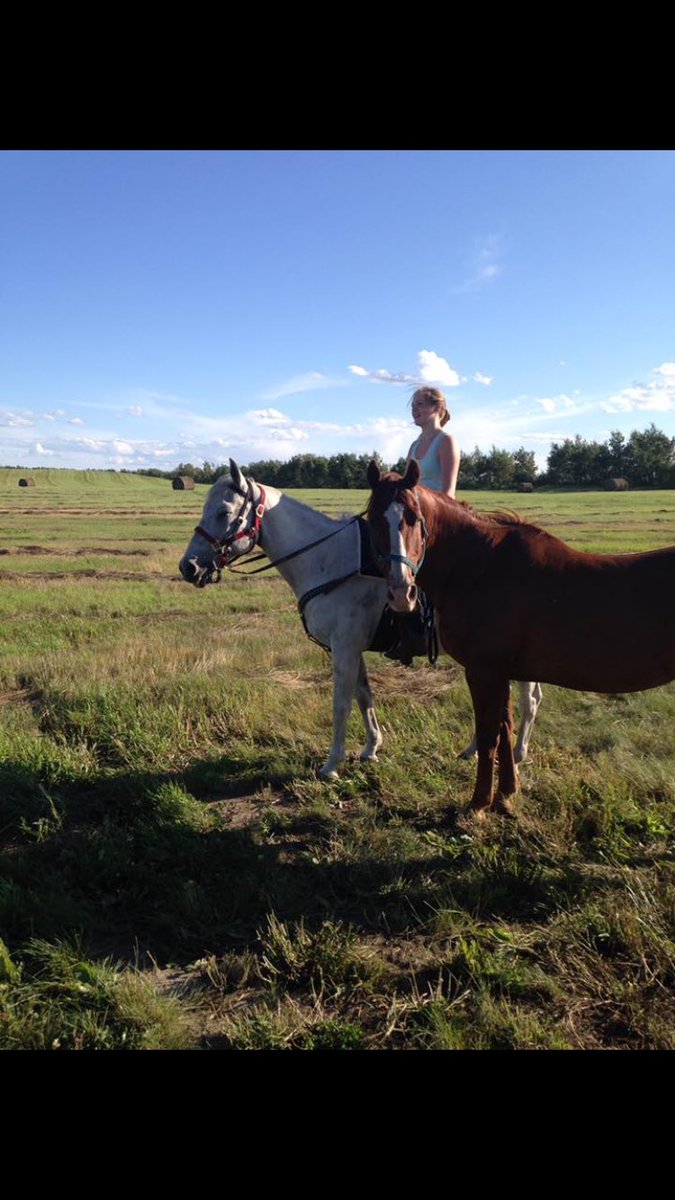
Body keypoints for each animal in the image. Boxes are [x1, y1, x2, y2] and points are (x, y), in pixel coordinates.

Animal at [178, 459, 542, 779]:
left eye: (224, 512)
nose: (188, 567)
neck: (328, 561)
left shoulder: (344, 649)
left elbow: (340, 703)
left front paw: (332, 764)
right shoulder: (352, 649)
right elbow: (364, 695)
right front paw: (371, 748)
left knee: (526, 698)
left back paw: (518, 754)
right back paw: (476, 750)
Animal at [366, 458, 675, 817]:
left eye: (414, 518)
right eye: (373, 518)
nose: (401, 592)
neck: (478, 568)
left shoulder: (484, 671)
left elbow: (489, 734)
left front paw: (478, 803)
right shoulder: (501, 673)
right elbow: (504, 729)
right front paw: (506, 794)